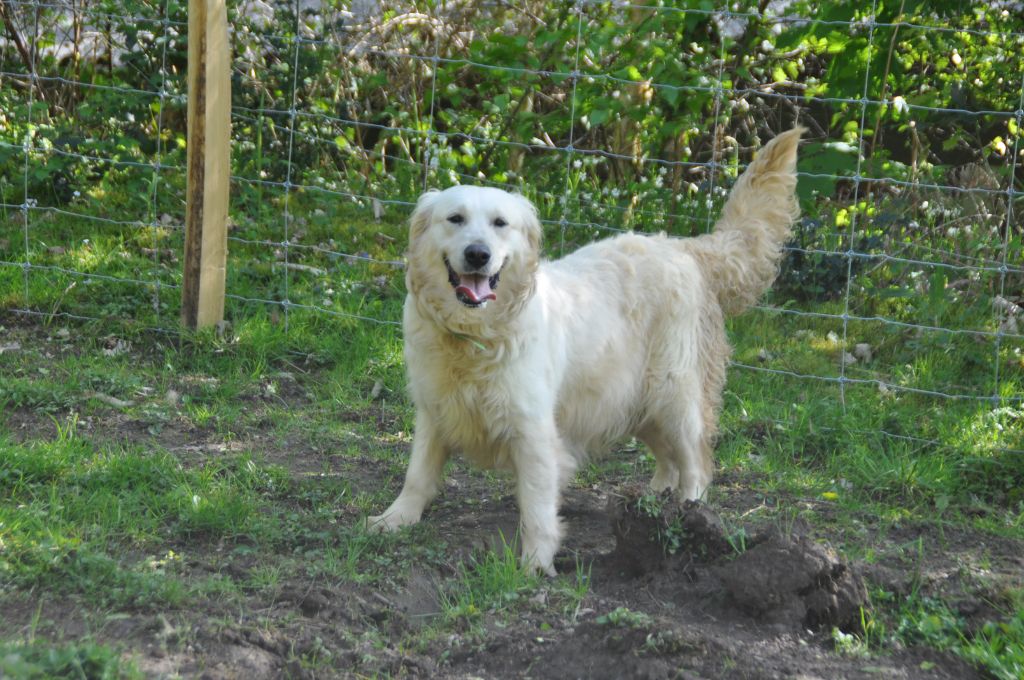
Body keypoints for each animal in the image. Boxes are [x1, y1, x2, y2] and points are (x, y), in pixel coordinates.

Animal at [372, 127, 802, 573]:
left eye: (499, 223)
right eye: (454, 219)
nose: (478, 254)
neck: (473, 335)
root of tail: (686, 248)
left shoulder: (533, 430)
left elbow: (537, 506)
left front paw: (535, 564)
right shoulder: (433, 409)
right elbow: (417, 472)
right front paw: (395, 518)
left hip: (674, 394)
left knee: (696, 467)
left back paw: (689, 515)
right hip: (637, 400)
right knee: (669, 461)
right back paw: (655, 505)